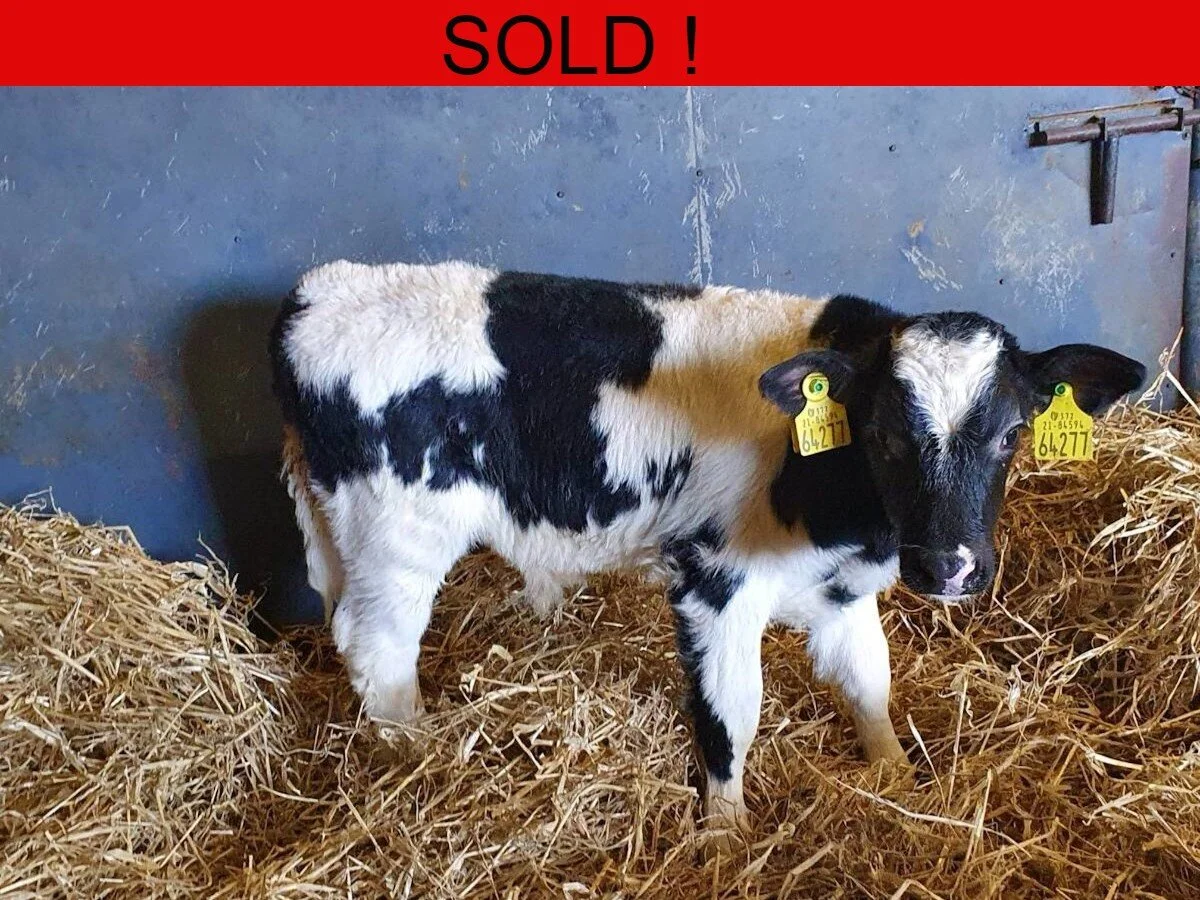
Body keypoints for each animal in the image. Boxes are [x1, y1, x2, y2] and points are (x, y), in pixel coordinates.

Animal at [269, 260, 1144, 840]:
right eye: (885, 433)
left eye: (1012, 434)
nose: (950, 567)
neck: (841, 508)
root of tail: (318, 290)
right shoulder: (715, 579)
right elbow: (732, 713)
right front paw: (725, 834)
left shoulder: (842, 590)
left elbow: (869, 685)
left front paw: (899, 778)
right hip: (399, 534)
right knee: (379, 650)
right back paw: (416, 757)